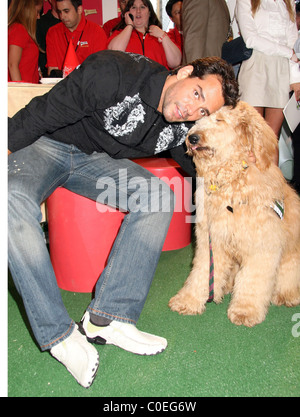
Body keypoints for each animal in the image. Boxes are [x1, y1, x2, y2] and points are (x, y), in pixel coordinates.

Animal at [169, 100, 300, 324]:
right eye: (201, 118)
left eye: (220, 120)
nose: (192, 137)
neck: (230, 182)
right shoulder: (211, 240)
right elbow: (201, 272)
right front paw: (188, 300)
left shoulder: (261, 245)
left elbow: (253, 280)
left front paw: (245, 310)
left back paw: (287, 296)